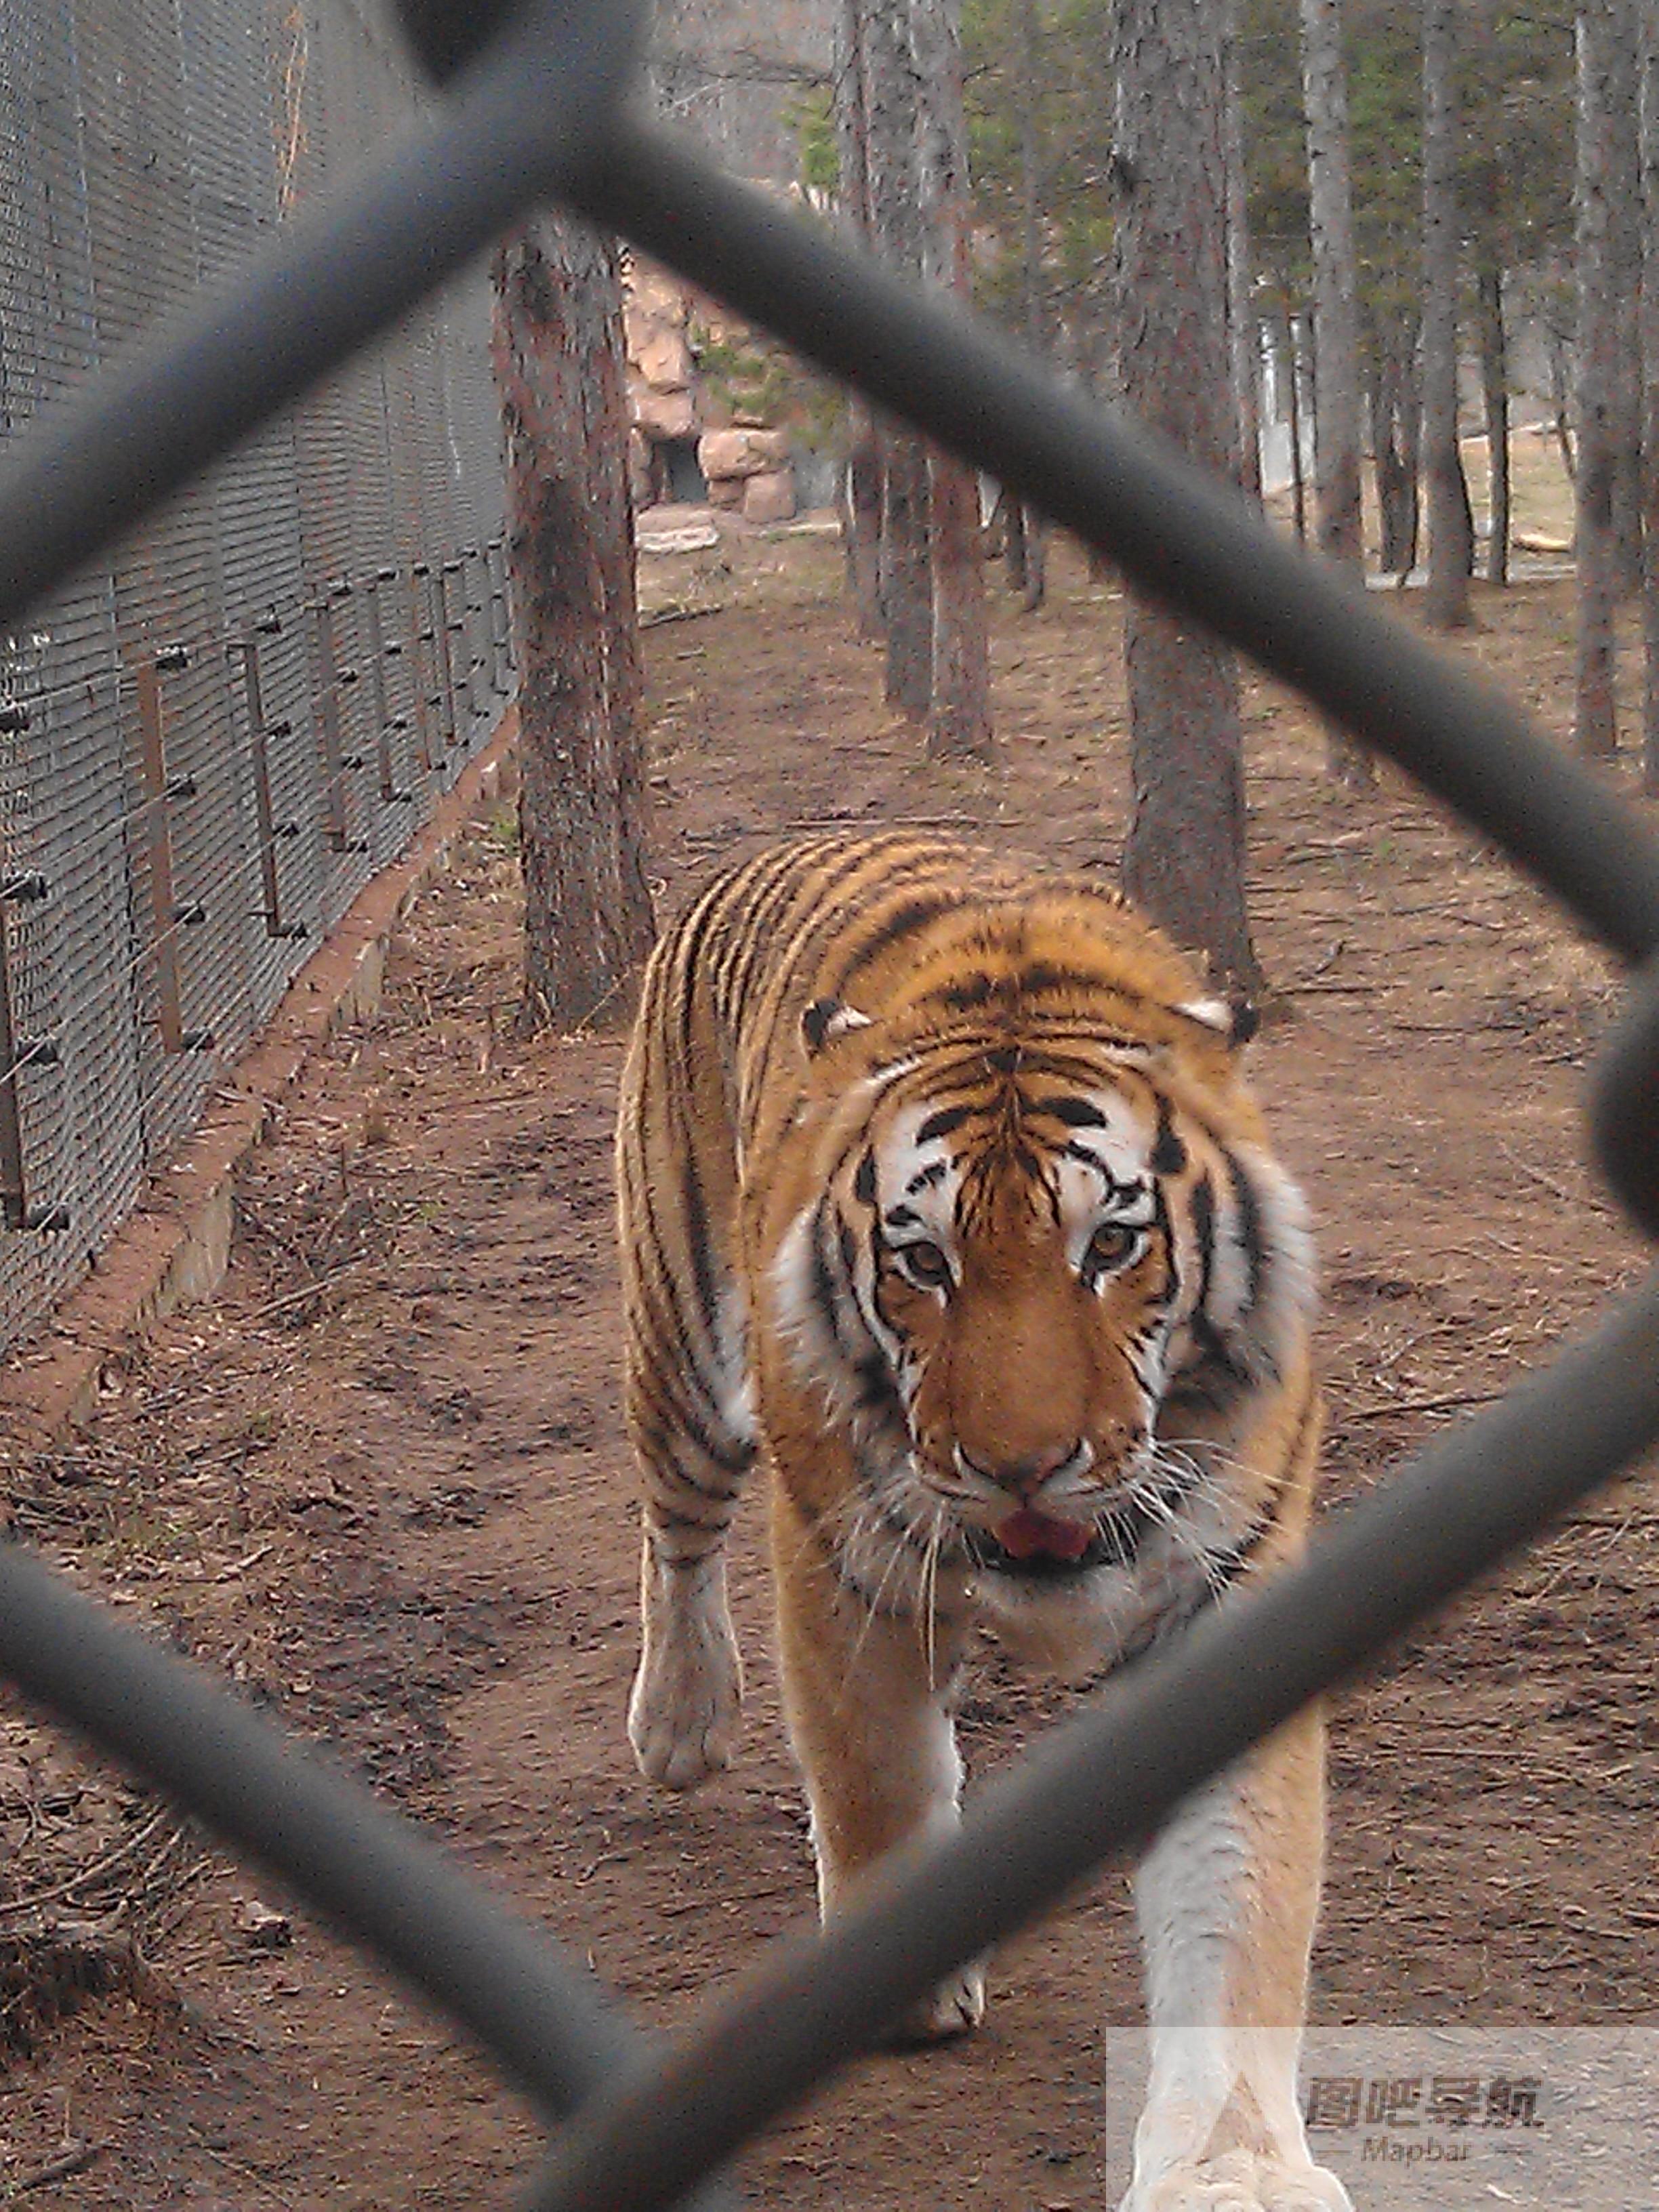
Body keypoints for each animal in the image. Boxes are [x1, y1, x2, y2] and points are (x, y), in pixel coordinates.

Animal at [619, 832, 1353, 2212]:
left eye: (1111, 1246)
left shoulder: (1229, 1595)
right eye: (923, 1263)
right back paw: (681, 1723)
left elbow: (1237, 1899)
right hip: (682, 1346)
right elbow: (874, 1776)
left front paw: (1231, 2166)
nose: (1022, 1467)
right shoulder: (839, 1556)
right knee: (675, 1531)